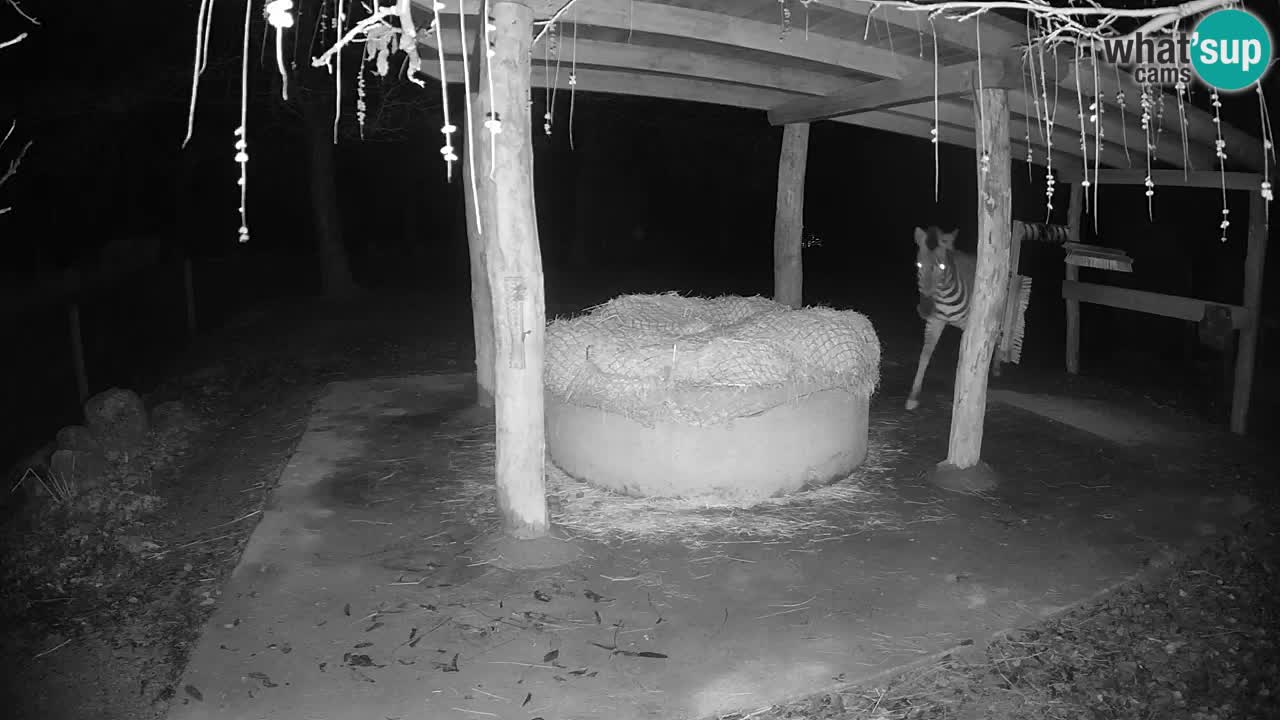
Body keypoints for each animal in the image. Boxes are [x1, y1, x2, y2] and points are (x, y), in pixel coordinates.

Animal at [906, 219, 1075, 409]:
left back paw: (995, 367)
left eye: (942, 267)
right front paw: (913, 395)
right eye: (918, 265)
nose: (925, 309)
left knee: (998, 339)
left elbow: (966, 359)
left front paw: (963, 394)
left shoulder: (969, 325)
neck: (944, 295)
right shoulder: (935, 321)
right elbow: (925, 355)